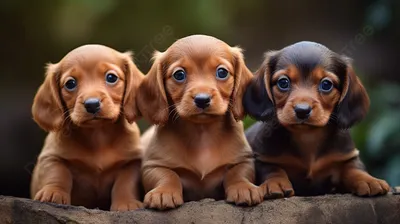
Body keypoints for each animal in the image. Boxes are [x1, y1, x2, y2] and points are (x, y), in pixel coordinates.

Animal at [31, 43, 144, 210]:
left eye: (111, 77)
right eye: (70, 83)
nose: (92, 104)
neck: (98, 135)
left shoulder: (132, 162)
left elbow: (125, 182)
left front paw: (126, 203)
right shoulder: (52, 156)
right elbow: (57, 174)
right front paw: (53, 193)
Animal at [138, 34, 262, 210]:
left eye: (222, 72)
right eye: (179, 74)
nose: (202, 99)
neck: (202, 134)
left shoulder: (244, 159)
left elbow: (237, 173)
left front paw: (244, 187)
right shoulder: (153, 165)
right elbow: (167, 175)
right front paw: (163, 192)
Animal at [242, 41, 390, 198]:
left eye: (326, 84)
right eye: (283, 82)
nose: (302, 110)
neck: (308, 136)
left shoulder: (346, 156)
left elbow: (354, 168)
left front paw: (369, 180)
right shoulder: (263, 158)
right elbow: (272, 170)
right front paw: (276, 182)